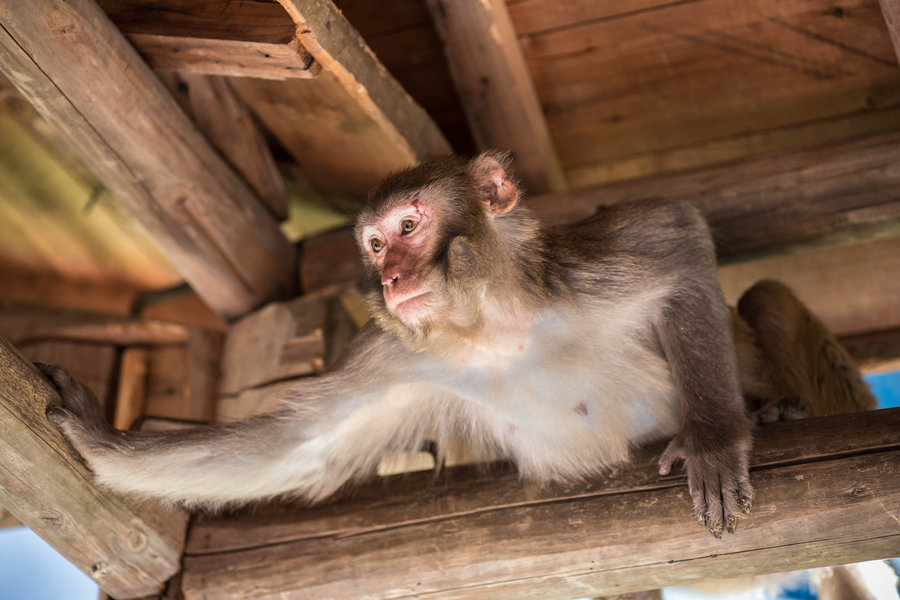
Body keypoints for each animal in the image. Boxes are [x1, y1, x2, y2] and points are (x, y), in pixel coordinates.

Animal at [38, 152, 876, 536]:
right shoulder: (399, 356)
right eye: (376, 245)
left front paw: (714, 437)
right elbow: (304, 445)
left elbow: (678, 237)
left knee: (762, 295)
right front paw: (95, 436)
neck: (498, 329)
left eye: (411, 227)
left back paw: (782, 411)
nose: (393, 275)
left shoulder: (582, 269)